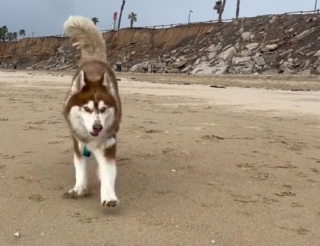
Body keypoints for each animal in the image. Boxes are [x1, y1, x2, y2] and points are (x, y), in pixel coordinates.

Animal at [62, 15, 121, 208]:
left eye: (103, 109)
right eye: (86, 108)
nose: (97, 127)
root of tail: (94, 59)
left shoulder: (109, 144)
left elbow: (108, 172)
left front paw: (109, 196)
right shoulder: (78, 143)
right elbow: (80, 167)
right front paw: (79, 187)